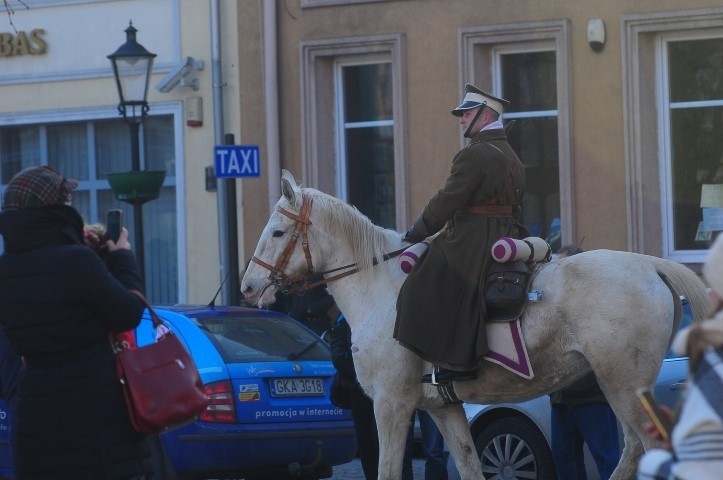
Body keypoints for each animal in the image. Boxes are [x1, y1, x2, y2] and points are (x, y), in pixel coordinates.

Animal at [240, 171, 708, 478]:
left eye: (278, 232)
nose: (247, 286)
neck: (380, 287)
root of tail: (649, 265)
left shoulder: (391, 404)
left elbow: (389, 470)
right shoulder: (443, 408)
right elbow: (468, 465)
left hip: (622, 385)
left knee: (645, 449)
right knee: (635, 452)